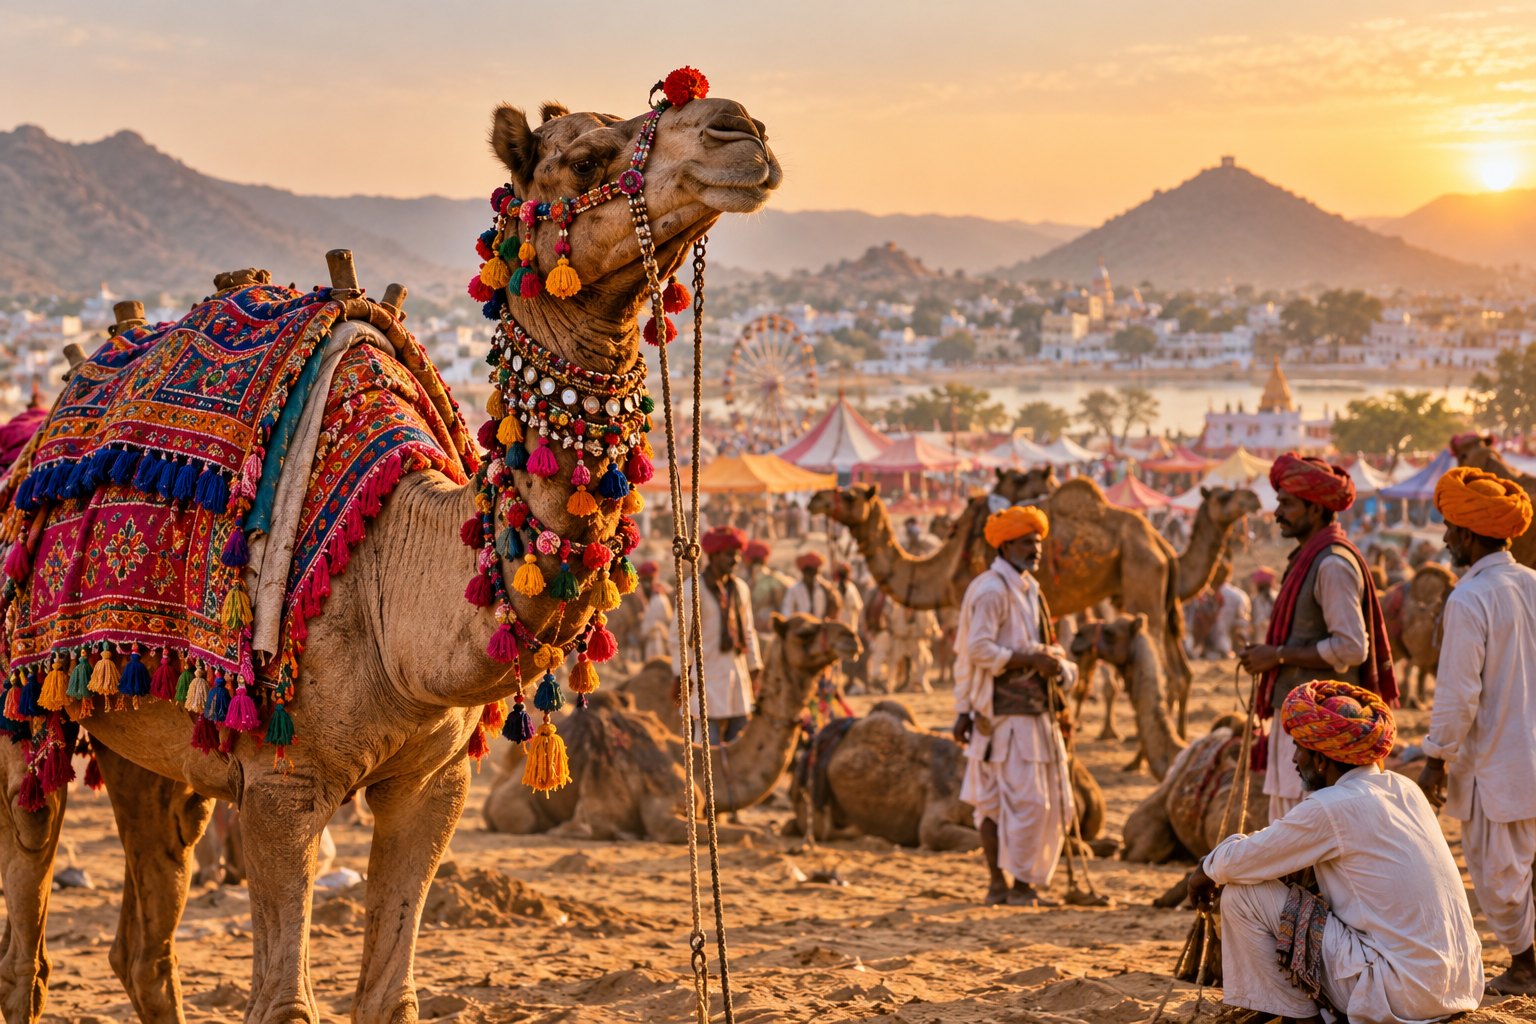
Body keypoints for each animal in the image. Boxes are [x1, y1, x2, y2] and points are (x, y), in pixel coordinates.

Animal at [0, 88, 781, 1023]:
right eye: (586, 158)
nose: (741, 129)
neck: (390, 580)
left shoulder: (433, 785)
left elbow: (390, 996)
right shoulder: (280, 790)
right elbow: (285, 1006)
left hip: (144, 736)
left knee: (145, 937)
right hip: (21, 712)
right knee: (25, 932)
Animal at [810, 476, 1195, 732]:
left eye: (849, 495)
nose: (815, 498)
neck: (944, 567)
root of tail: (1162, 544)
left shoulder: (969, 597)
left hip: (1142, 577)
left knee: (1158, 660)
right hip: (1149, 591)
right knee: (1180, 670)